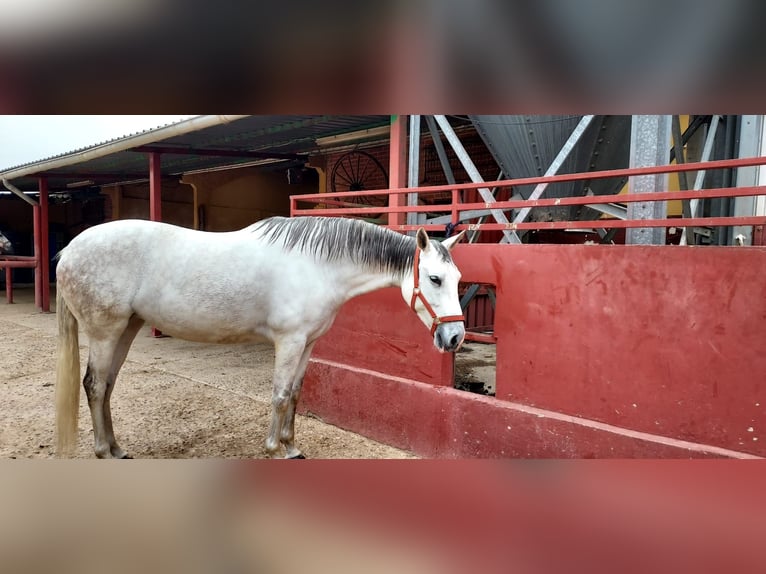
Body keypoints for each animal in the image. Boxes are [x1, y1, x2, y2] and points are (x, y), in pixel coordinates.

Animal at [55, 218, 468, 462]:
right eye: (434, 279)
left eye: (459, 278)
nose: (455, 337)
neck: (318, 266)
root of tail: (69, 250)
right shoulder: (289, 341)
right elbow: (280, 395)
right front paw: (273, 449)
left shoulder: (308, 343)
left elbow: (296, 394)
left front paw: (292, 446)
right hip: (105, 332)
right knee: (94, 385)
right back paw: (103, 451)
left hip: (126, 329)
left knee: (107, 386)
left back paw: (117, 448)